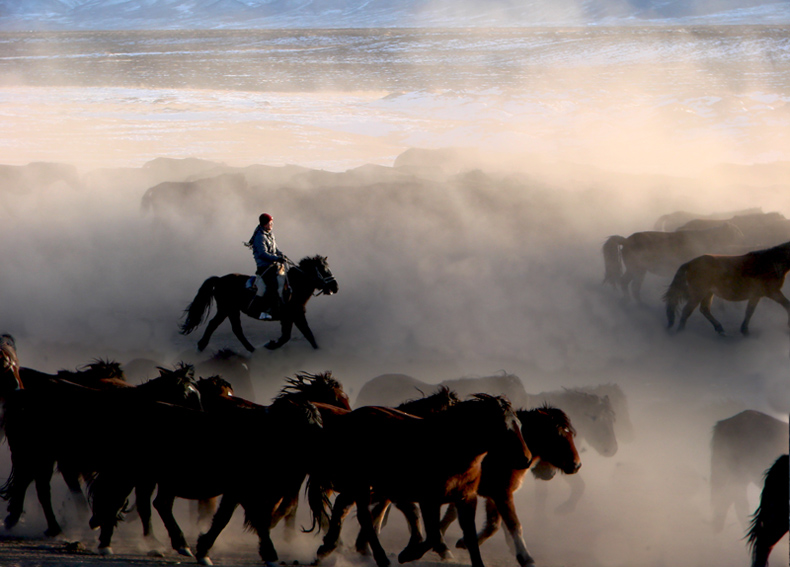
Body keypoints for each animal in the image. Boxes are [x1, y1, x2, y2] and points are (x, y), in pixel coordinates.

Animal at [181, 255, 338, 352]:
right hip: (227, 309)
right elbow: (300, 335)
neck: (294, 286)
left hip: (230, 310)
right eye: (323, 270)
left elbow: (297, 335)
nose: (335, 287)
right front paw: (270, 345)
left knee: (232, 329)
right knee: (218, 326)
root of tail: (219, 279)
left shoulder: (293, 316)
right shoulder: (294, 315)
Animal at [310, 398, 532, 567]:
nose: (527, 459)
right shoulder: (430, 500)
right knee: (363, 516)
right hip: (361, 483)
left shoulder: (466, 498)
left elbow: (468, 536)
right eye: (504, 428)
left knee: (343, 506)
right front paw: (408, 554)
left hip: (366, 485)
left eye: (520, 426)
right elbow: (434, 535)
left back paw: (325, 549)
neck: (452, 448)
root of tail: (346, 419)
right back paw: (380, 558)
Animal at [604, 222, 744, 302]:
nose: (743, 239)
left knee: (626, 283)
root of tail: (626, 240)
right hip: (637, 270)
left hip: (637, 270)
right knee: (632, 286)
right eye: (736, 232)